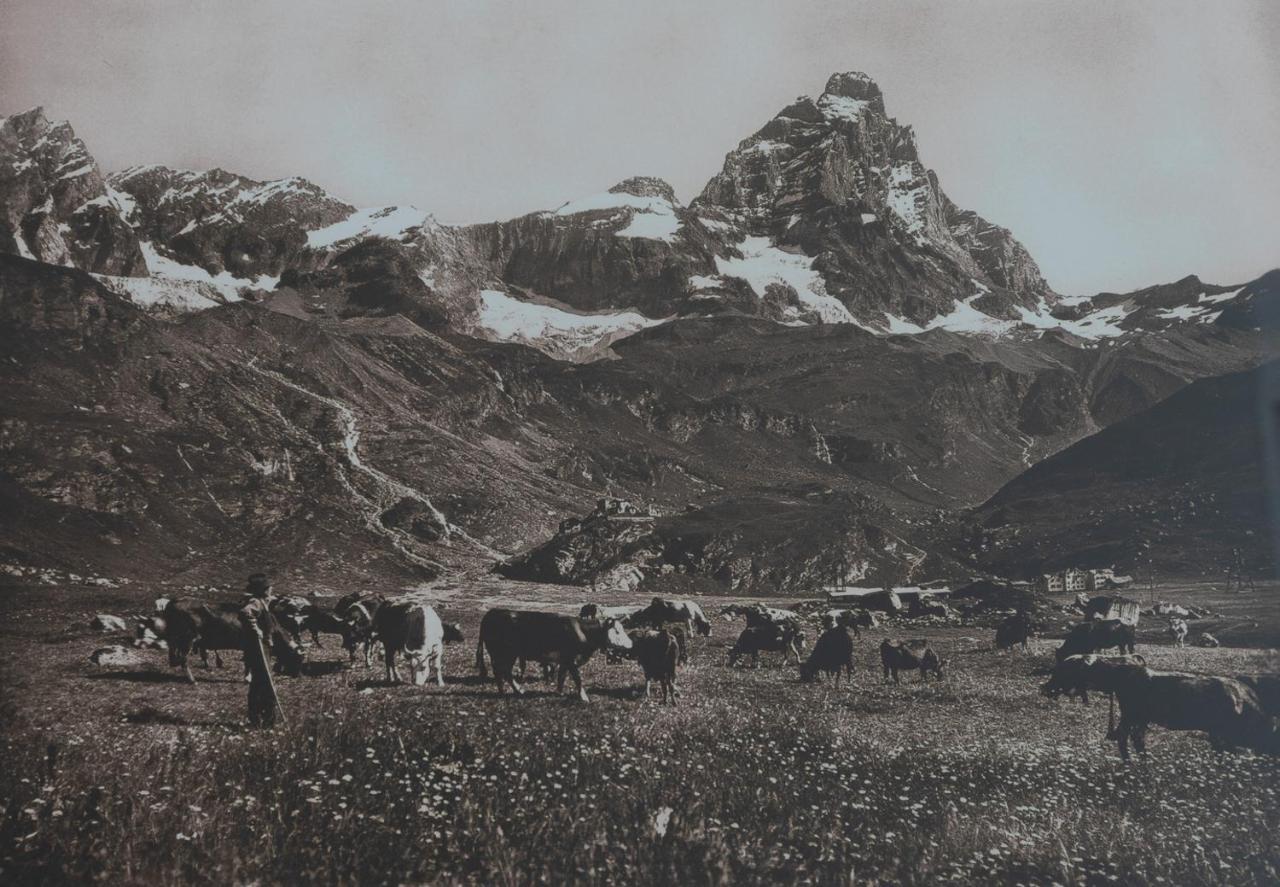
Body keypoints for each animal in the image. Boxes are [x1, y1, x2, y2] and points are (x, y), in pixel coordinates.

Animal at [158, 599, 298, 680]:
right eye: (297, 657)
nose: (297, 675)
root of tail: (172, 603)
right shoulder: (249, 646)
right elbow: (248, 663)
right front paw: (248, 678)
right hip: (188, 639)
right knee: (183, 658)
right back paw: (192, 680)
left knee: (174, 657)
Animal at [473, 606, 632, 701]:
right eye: (617, 631)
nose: (630, 644)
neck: (583, 632)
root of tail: (493, 612)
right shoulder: (571, 659)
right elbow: (577, 679)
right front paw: (584, 697)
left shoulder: (565, 661)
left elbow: (562, 676)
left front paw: (559, 692)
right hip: (505, 653)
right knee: (503, 671)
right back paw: (515, 690)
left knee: (501, 671)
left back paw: (508, 691)